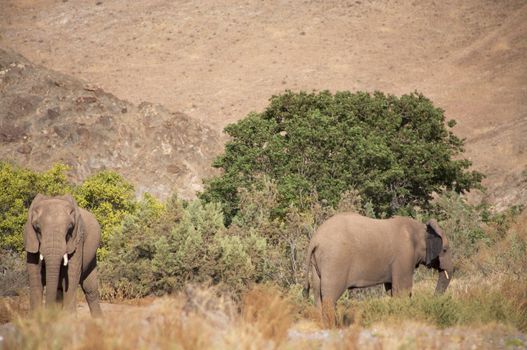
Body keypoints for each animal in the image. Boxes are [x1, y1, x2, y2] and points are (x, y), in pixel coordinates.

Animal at [304, 212, 456, 324]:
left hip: (317, 265)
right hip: (335, 261)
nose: (433, 299)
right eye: (444, 250)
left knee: (318, 297)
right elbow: (403, 291)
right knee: (330, 298)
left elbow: (392, 291)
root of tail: (315, 240)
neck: (421, 229)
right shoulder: (404, 255)